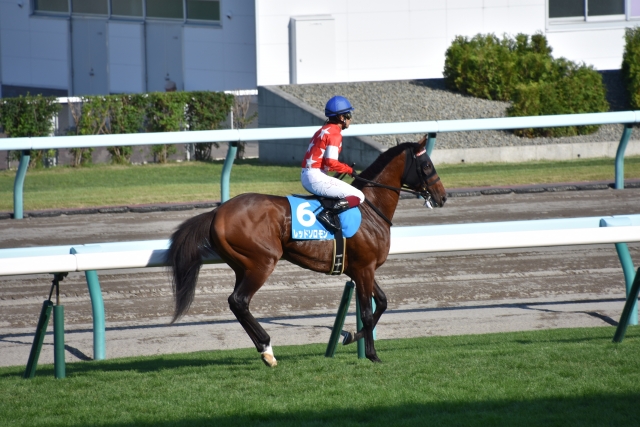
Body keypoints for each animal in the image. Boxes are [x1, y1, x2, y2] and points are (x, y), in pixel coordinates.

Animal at [167, 135, 447, 366]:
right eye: (427, 166)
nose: (442, 197)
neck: (370, 208)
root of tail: (217, 212)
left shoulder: (359, 270)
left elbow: (383, 303)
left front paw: (350, 336)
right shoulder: (365, 268)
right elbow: (368, 313)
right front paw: (371, 354)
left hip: (242, 266)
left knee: (237, 303)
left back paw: (264, 350)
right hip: (262, 263)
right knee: (239, 300)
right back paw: (267, 349)